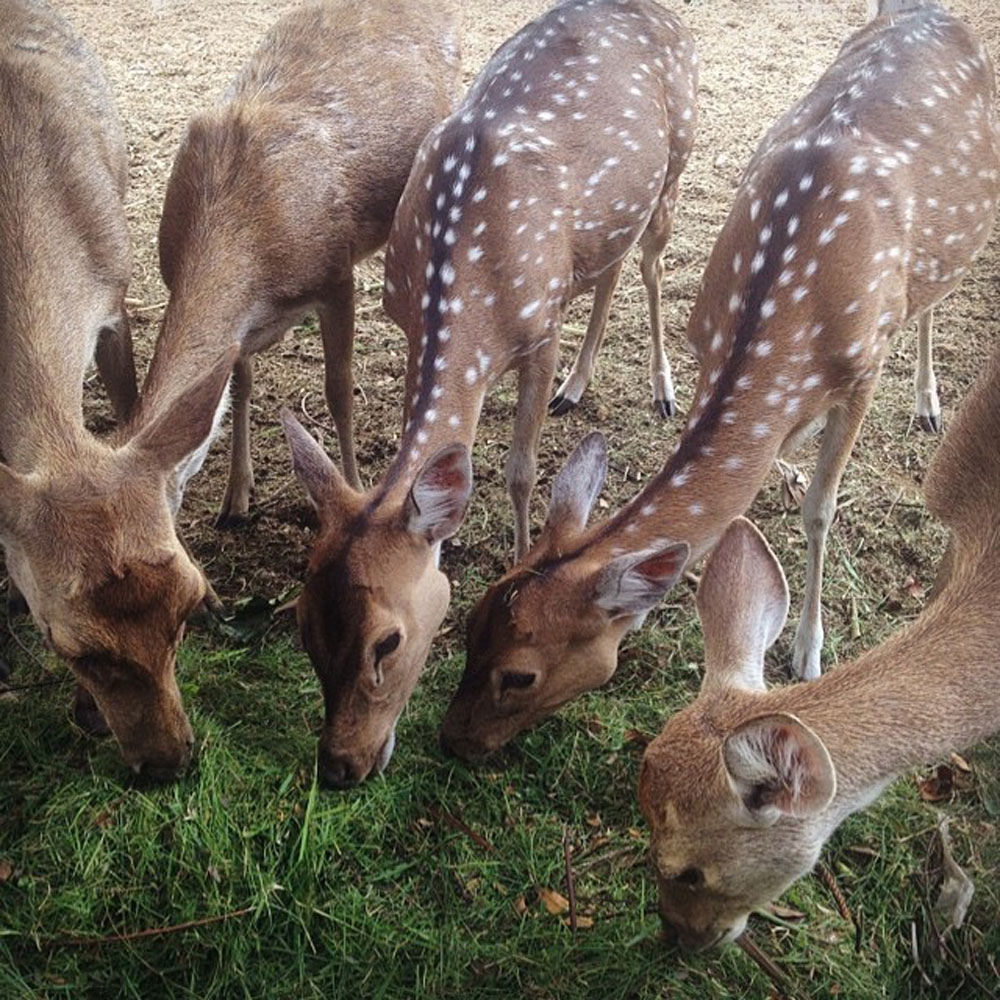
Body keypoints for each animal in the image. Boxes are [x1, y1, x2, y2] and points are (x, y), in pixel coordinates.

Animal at [148, 0, 462, 526]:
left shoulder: (335, 274)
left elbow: (339, 391)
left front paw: (356, 488)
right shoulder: (242, 332)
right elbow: (241, 386)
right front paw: (236, 497)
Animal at [281, 0, 699, 788]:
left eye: (388, 641)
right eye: (303, 628)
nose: (341, 765)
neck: (470, 289)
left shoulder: (539, 329)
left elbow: (519, 470)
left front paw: (521, 557)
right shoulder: (406, 320)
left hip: (677, 161)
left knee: (652, 266)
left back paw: (662, 390)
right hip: (613, 213)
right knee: (611, 268)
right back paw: (578, 386)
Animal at [439, 0, 1000, 762]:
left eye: (519, 674)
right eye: (470, 624)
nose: (449, 739)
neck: (788, 325)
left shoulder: (862, 367)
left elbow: (821, 508)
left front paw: (807, 649)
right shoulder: (707, 343)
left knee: (934, 300)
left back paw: (928, 403)